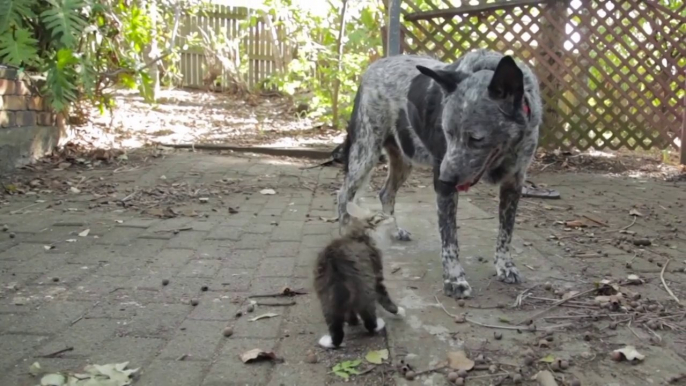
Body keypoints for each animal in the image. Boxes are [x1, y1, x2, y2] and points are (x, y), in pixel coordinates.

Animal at [314, 202, 406, 350]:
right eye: (382, 216)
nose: (392, 216)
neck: (360, 234)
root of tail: (335, 264)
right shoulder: (377, 274)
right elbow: (386, 300)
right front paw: (398, 311)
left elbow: (350, 310)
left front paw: (352, 320)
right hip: (366, 289)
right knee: (369, 321)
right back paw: (378, 325)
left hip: (325, 295)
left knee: (336, 324)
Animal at [338, 49, 544, 298]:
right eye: (447, 132)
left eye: (476, 138)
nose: (445, 179)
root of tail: (373, 66)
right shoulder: (444, 186)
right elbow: (449, 240)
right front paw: (454, 279)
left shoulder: (514, 183)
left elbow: (506, 232)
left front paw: (505, 266)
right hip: (365, 152)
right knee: (343, 194)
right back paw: (343, 232)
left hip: (404, 160)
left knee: (386, 193)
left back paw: (395, 229)